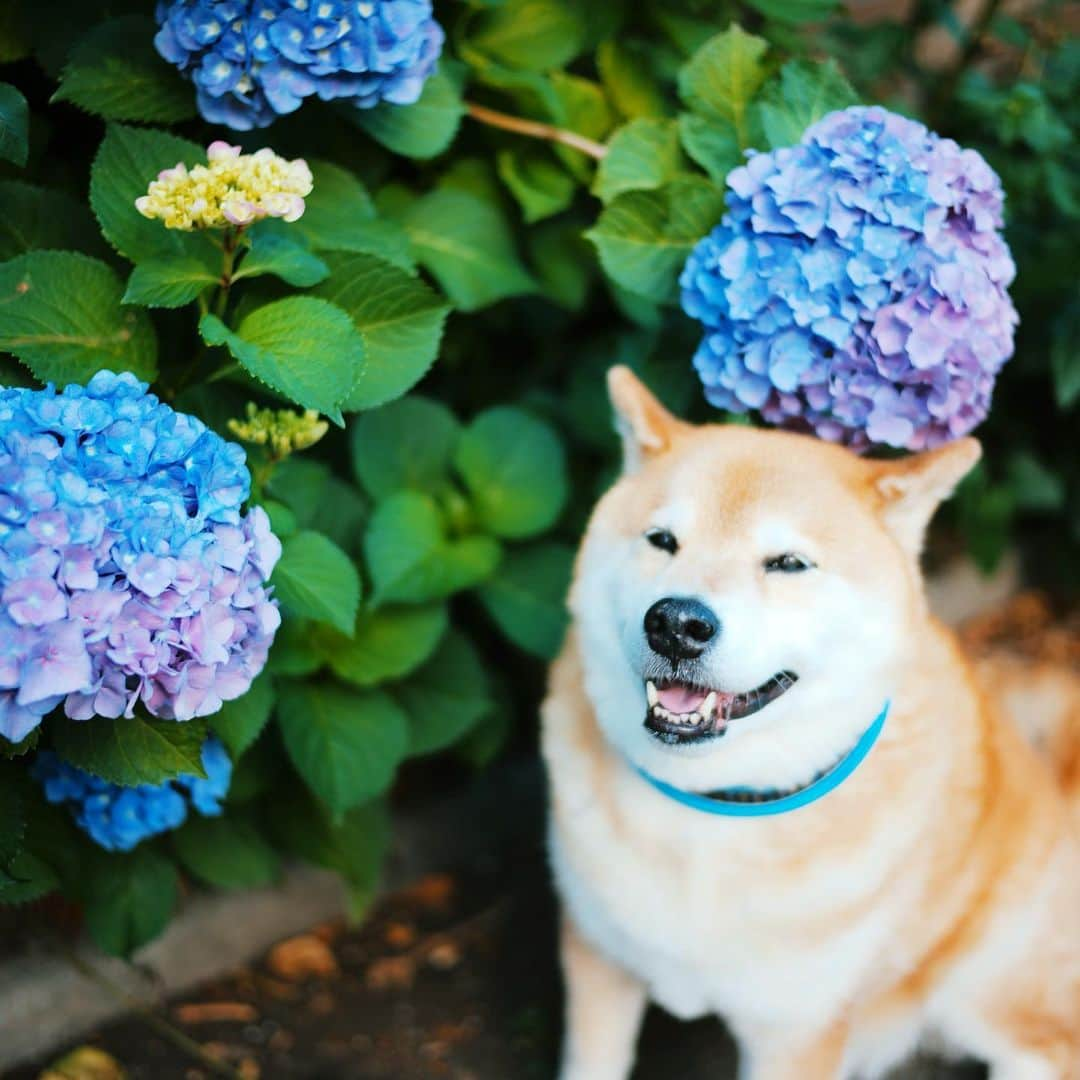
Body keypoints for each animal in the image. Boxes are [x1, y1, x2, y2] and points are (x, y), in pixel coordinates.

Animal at [544, 369, 1075, 1080]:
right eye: (662, 541)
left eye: (788, 563)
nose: (677, 623)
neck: (714, 810)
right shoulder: (598, 961)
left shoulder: (796, 1032)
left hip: (990, 996)